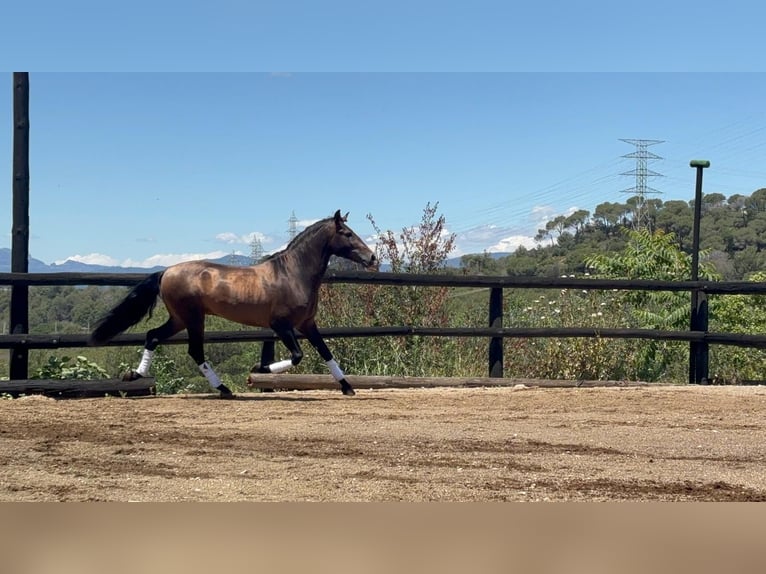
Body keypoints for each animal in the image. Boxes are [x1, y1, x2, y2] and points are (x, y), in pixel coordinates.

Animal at [90, 209, 378, 398]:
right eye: (347, 233)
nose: (372, 258)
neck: (293, 274)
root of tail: (166, 271)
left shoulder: (308, 324)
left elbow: (326, 353)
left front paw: (348, 387)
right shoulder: (281, 325)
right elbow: (298, 356)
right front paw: (260, 369)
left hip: (179, 319)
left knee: (153, 336)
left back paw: (135, 375)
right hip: (193, 318)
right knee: (194, 351)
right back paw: (223, 389)